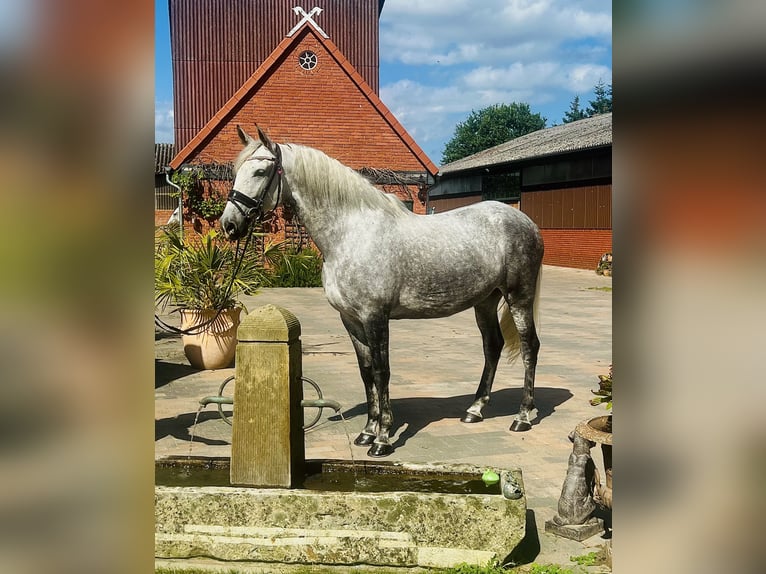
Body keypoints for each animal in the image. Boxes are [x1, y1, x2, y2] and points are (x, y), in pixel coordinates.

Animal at [222, 126, 544, 460]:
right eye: (235, 172)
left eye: (260, 171)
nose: (229, 225)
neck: (351, 234)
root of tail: (526, 222)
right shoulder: (351, 320)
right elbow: (366, 373)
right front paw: (367, 431)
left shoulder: (375, 317)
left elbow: (382, 371)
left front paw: (383, 438)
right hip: (485, 300)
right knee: (492, 346)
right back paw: (475, 410)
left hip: (519, 297)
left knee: (530, 347)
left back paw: (522, 416)